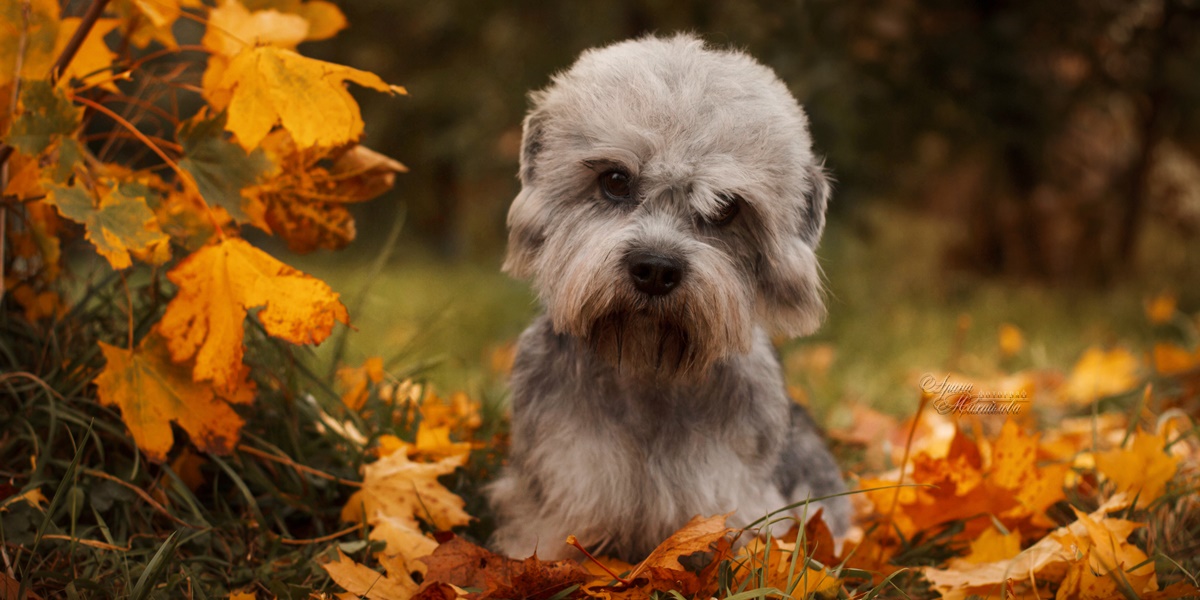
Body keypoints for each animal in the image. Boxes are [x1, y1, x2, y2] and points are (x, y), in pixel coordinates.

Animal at [482, 32, 849, 559]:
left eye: (725, 207)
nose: (655, 269)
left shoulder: (732, 498)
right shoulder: (559, 496)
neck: (648, 366)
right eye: (615, 180)